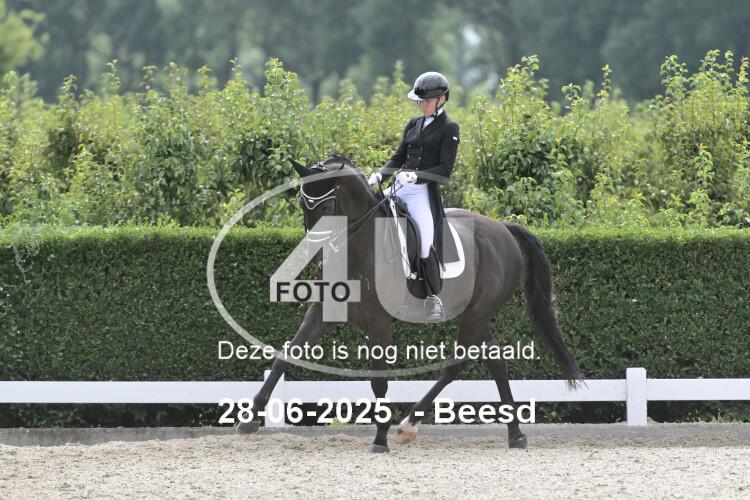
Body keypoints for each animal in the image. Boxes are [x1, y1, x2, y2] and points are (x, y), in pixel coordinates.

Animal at [237, 152, 584, 453]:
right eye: (302, 202)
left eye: (330, 202)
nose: (315, 256)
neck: (359, 248)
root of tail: (503, 228)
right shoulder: (323, 312)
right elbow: (285, 356)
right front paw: (250, 419)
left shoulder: (379, 325)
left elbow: (378, 383)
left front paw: (379, 440)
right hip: (477, 316)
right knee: (494, 360)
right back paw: (515, 435)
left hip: (476, 314)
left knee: (456, 364)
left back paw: (406, 427)